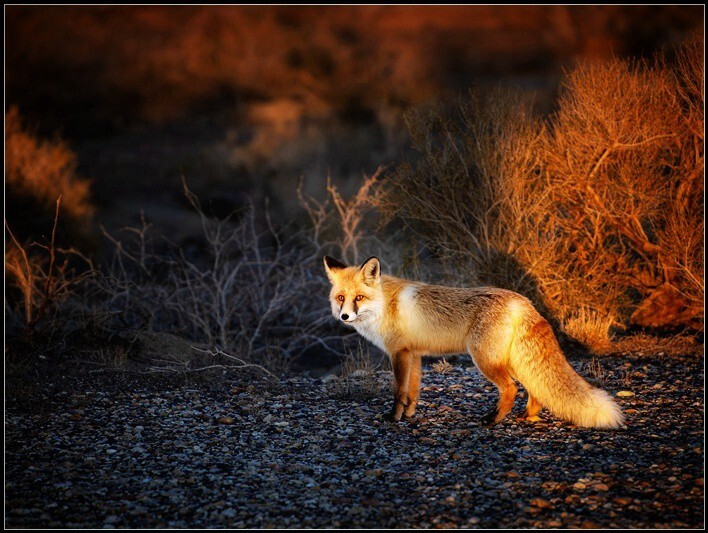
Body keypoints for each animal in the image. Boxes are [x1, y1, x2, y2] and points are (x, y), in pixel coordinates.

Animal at [322, 255, 624, 428]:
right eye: (341, 298)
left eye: (359, 298)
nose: (345, 316)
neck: (384, 305)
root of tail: (523, 301)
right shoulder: (414, 354)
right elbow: (413, 392)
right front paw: (409, 416)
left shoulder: (399, 353)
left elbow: (399, 391)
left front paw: (394, 418)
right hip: (510, 360)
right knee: (534, 388)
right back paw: (526, 416)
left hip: (486, 360)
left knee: (511, 389)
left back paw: (493, 420)